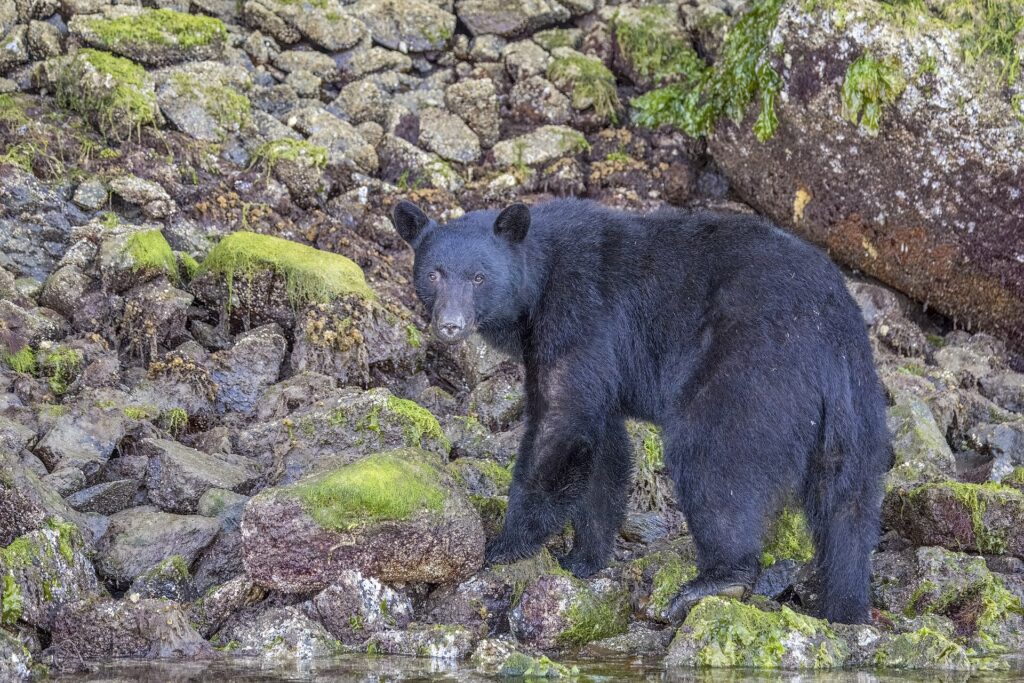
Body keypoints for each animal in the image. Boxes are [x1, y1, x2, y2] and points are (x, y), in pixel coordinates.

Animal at [391, 197, 890, 625]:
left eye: (478, 277)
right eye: (434, 274)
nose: (450, 325)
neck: (540, 279)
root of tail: (828, 329)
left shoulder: (579, 317)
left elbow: (562, 422)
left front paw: (506, 545)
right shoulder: (602, 363)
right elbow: (603, 450)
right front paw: (584, 558)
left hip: (751, 370)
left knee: (713, 462)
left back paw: (717, 579)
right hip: (856, 403)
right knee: (848, 504)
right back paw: (845, 604)